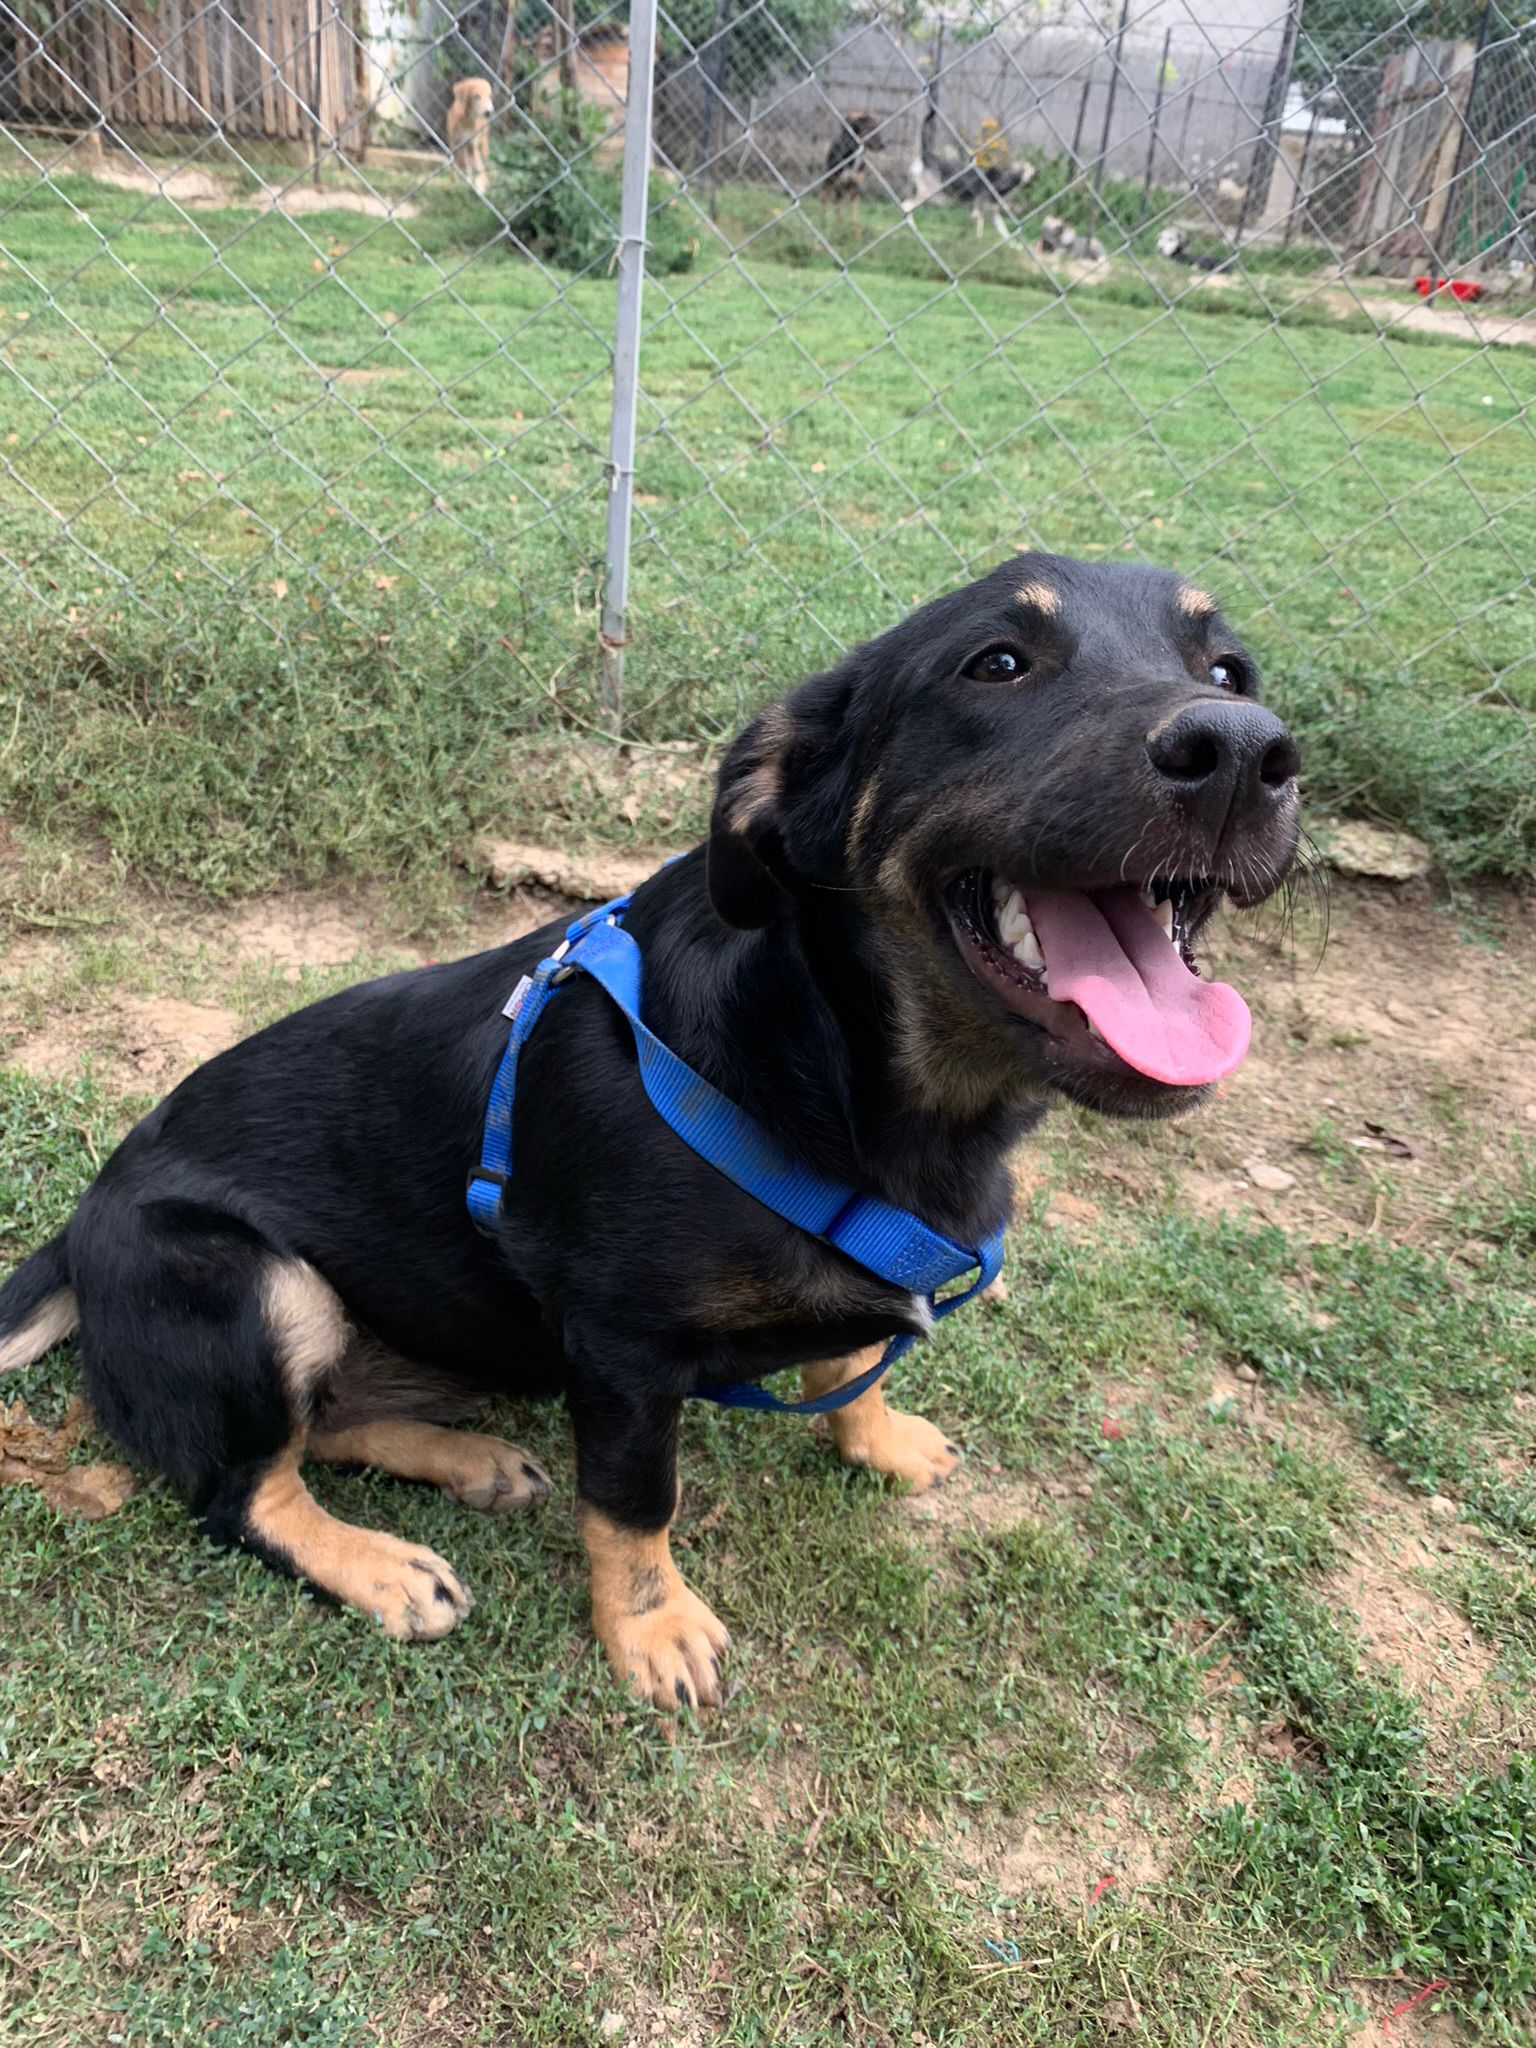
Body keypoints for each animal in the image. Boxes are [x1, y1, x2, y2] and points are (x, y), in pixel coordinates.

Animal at [0, 557, 1299, 1712]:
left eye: (1228, 667)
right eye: (998, 664)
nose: (1246, 752)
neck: (832, 1065)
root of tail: (75, 1228)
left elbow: (849, 1363)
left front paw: (877, 1439)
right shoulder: (622, 1350)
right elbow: (636, 1504)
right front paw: (654, 1628)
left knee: (330, 1424)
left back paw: (465, 1458)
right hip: (255, 1279)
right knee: (244, 1492)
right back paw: (379, 1564)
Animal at [903, 105, 1035, 239]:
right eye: (1028, 169)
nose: (1035, 173)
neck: (1001, 181)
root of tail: (926, 155)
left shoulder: (993, 213)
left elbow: (1004, 232)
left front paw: (1013, 242)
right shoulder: (977, 211)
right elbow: (979, 229)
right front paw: (978, 240)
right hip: (930, 194)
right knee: (906, 206)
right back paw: (913, 227)